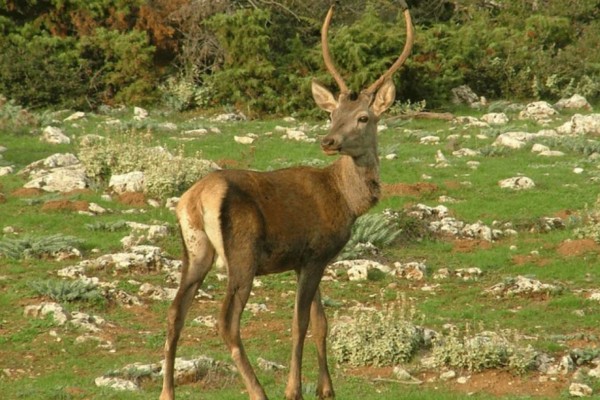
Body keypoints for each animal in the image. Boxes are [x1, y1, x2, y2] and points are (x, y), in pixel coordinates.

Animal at [158, 1, 412, 398]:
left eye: (362, 117)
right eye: (332, 114)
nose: (328, 140)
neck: (345, 201)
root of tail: (195, 200)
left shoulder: (309, 259)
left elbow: (322, 322)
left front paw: (327, 389)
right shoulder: (314, 252)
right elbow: (300, 324)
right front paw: (295, 388)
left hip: (195, 251)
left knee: (174, 313)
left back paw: (166, 391)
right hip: (242, 254)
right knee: (226, 321)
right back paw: (258, 390)